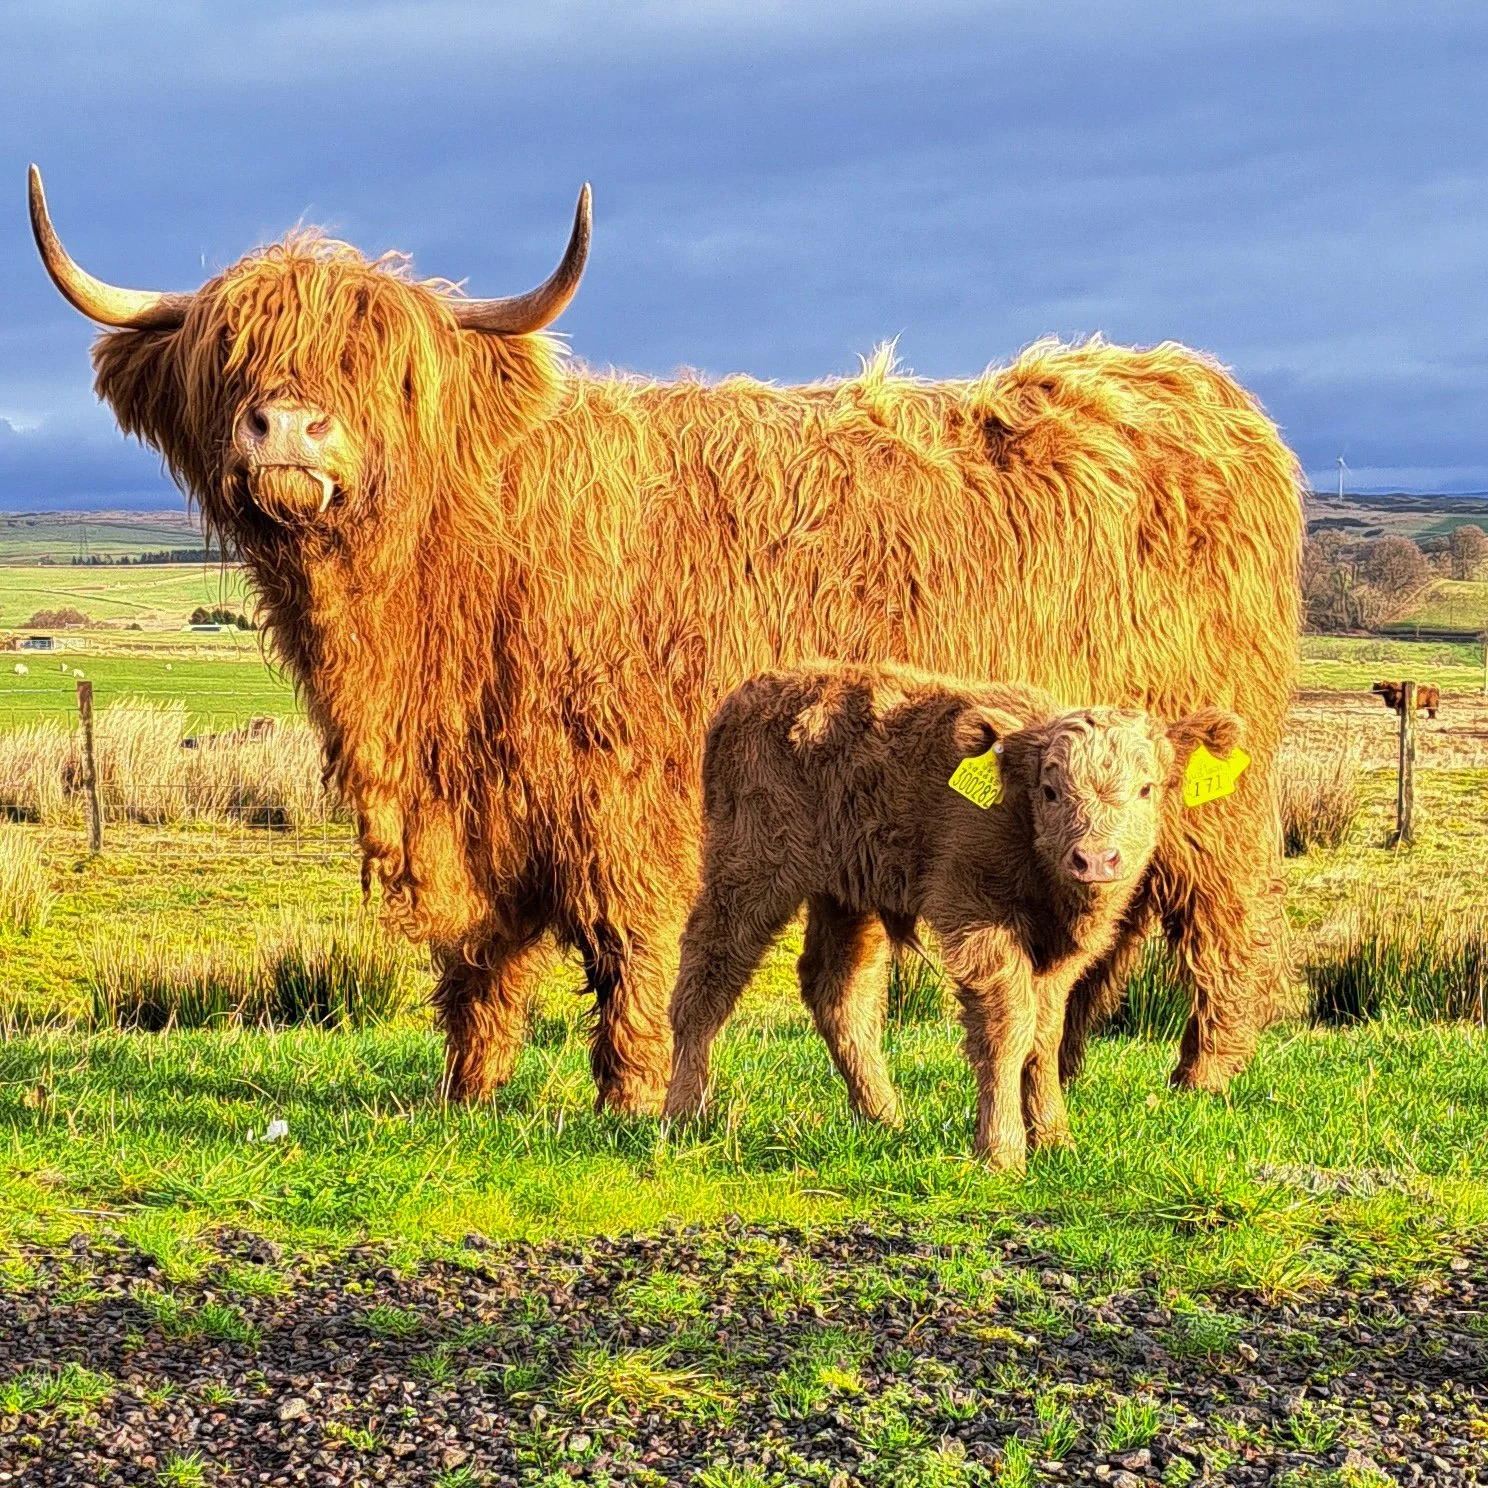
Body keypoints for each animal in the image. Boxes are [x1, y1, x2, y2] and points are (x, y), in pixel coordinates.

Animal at [28, 166, 1305, 1114]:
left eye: (391, 370)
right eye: (224, 354)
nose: (288, 427)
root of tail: (1186, 382)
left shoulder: (631, 797)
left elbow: (634, 945)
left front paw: (630, 1095)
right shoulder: (479, 805)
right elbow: (482, 961)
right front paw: (467, 1092)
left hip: (1202, 778)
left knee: (1218, 906)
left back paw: (1201, 1075)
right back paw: (1071, 1063)